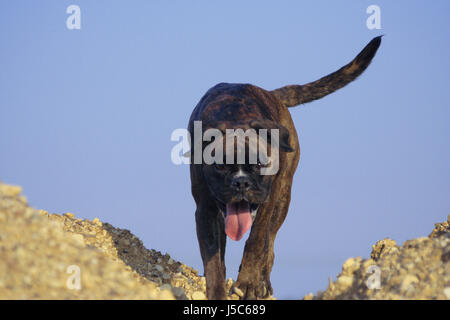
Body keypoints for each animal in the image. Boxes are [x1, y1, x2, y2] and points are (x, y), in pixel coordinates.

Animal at [188, 36, 382, 298]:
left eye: (260, 163)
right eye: (219, 165)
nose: (241, 183)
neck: (234, 118)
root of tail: (272, 93)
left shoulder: (267, 203)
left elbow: (257, 242)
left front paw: (248, 283)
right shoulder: (206, 211)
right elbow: (213, 262)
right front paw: (217, 292)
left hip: (282, 199)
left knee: (269, 245)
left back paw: (261, 282)